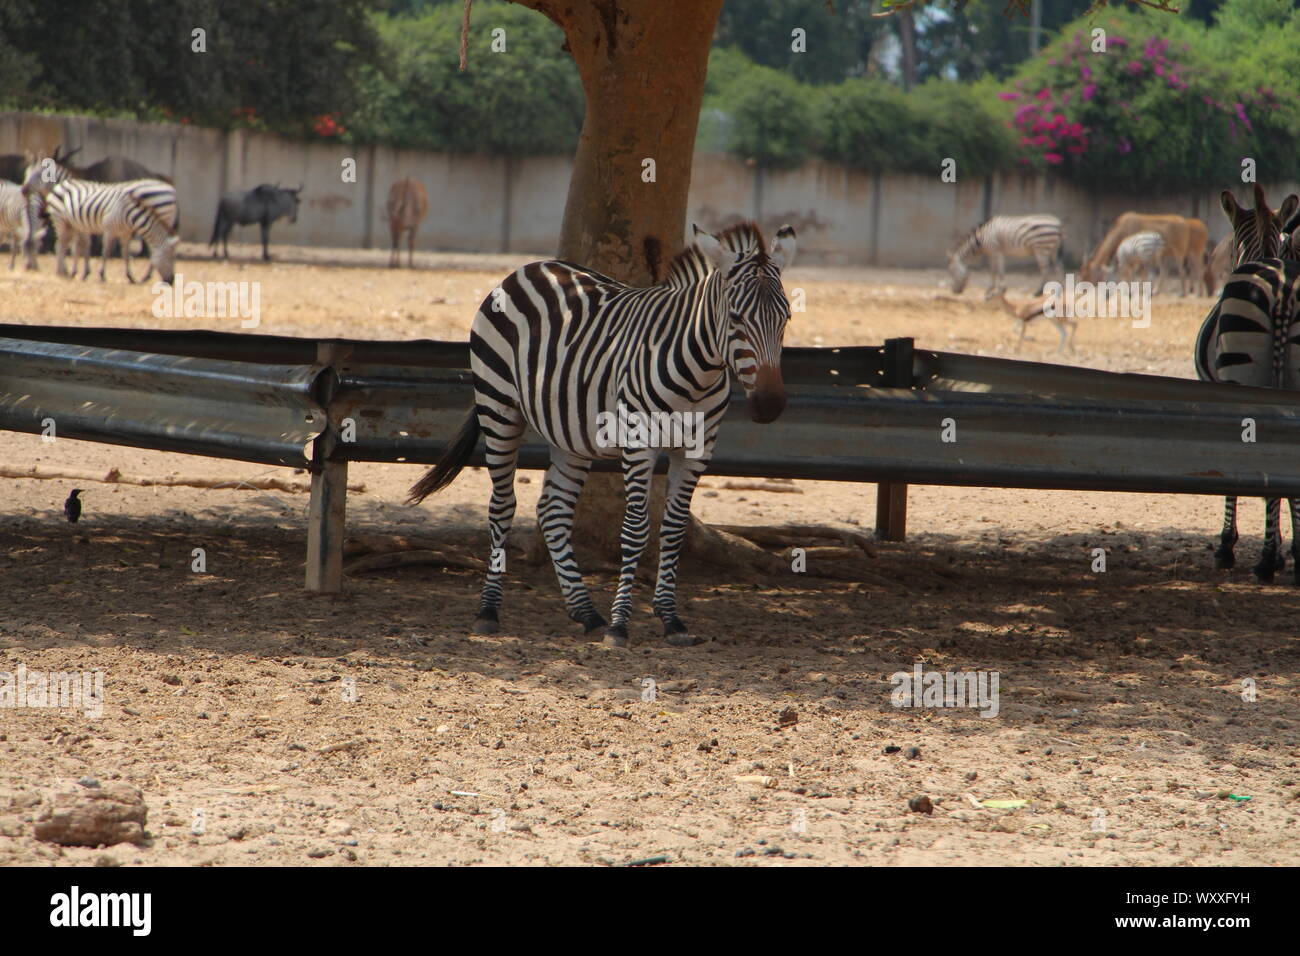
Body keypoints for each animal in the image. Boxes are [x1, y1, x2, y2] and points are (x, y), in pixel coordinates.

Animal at [403, 221, 790, 647]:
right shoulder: (638, 444)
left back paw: (586, 613)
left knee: (553, 511)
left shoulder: (697, 451)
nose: (770, 406)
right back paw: (489, 611)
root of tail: (531, 267)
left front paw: (670, 619)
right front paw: (621, 624)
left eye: (787, 318)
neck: (697, 375)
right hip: (499, 407)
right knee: (502, 506)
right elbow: (636, 529)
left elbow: (673, 530)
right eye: (736, 318)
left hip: (570, 434)